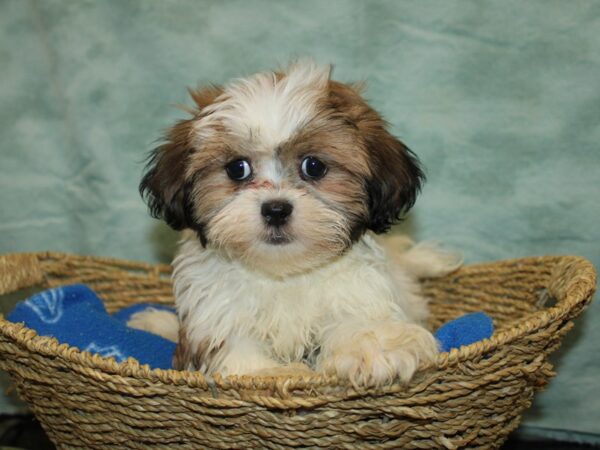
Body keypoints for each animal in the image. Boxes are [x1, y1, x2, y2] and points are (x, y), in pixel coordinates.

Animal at [132, 59, 460, 384]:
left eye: (313, 166)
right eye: (237, 168)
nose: (276, 209)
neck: (284, 274)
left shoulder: (355, 291)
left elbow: (355, 318)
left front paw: (373, 348)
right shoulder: (215, 316)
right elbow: (237, 351)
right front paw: (270, 372)